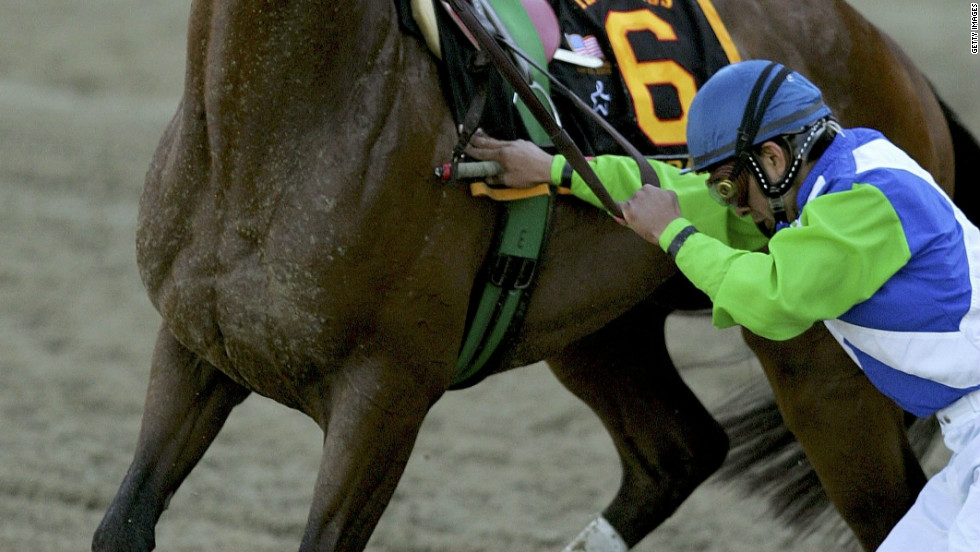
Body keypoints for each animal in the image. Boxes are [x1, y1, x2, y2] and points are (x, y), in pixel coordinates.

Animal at [90, 0, 972, 548]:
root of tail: (898, 62)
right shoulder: (195, 350)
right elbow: (124, 524)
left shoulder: (383, 395)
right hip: (599, 336)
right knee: (678, 451)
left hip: (818, 367)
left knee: (883, 507)